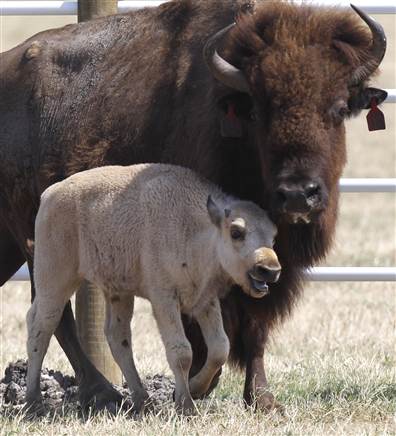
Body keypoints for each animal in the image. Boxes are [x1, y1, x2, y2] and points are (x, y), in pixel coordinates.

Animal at [26, 164, 280, 416]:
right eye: (236, 232)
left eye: (273, 236)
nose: (270, 269)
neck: (196, 227)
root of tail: (49, 195)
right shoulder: (164, 299)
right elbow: (181, 352)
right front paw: (186, 406)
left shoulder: (205, 301)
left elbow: (220, 348)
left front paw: (195, 389)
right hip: (55, 280)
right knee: (42, 327)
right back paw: (32, 401)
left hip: (118, 292)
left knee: (117, 337)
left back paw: (142, 400)